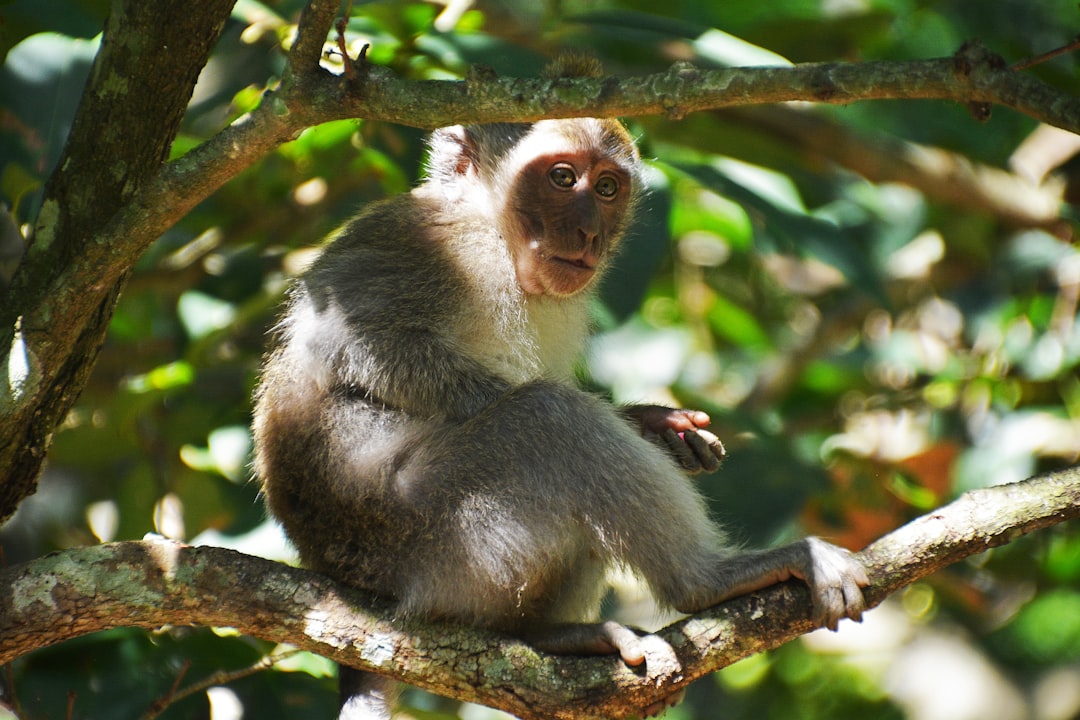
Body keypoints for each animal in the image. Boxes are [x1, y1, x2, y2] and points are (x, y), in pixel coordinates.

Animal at [252, 60, 868, 720]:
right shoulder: (429, 245)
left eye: (607, 189)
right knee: (548, 416)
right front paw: (633, 423)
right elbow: (353, 343)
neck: (495, 234)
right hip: (441, 536)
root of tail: (348, 581)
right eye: (562, 177)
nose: (588, 231)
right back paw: (708, 580)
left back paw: (547, 635)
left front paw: (653, 423)